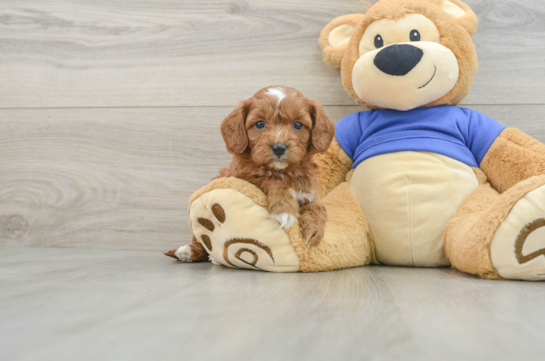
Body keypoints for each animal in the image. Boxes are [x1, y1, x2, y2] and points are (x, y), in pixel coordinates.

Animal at [171, 86, 336, 262]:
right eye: (260, 124)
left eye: (298, 125)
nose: (279, 147)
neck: (284, 171)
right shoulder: (243, 177)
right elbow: (271, 179)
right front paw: (285, 210)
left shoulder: (311, 192)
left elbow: (318, 208)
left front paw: (314, 232)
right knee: (201, 239)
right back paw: (190, 251)